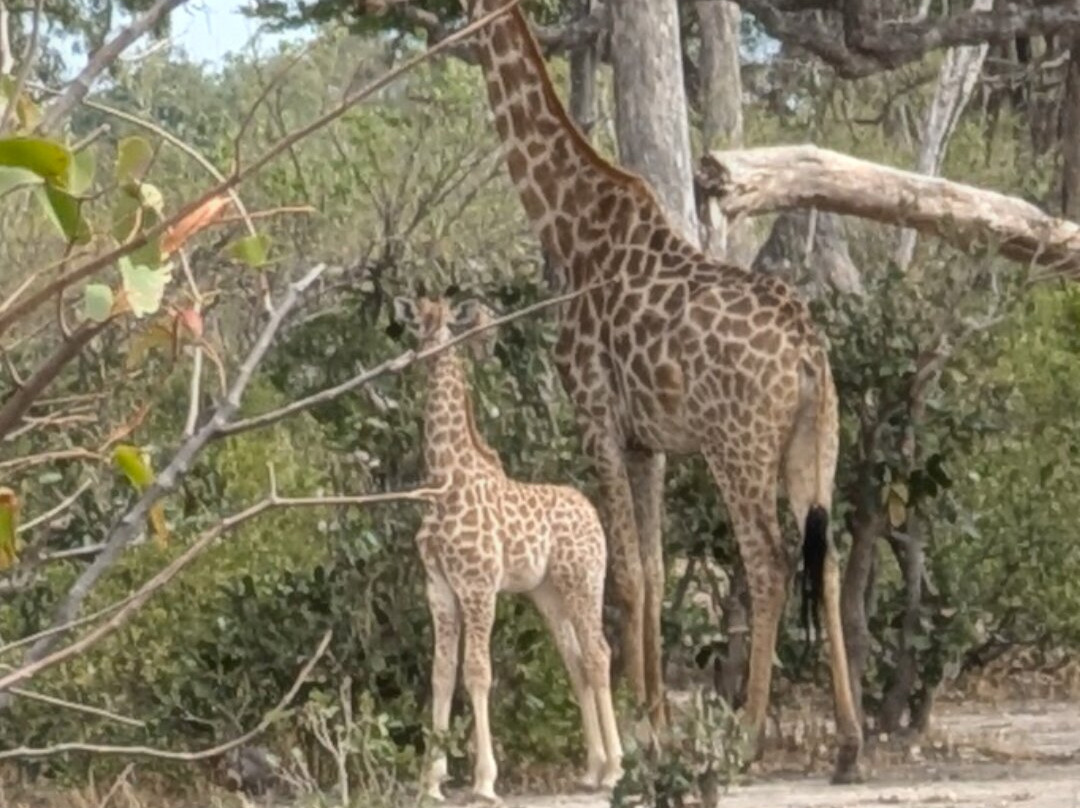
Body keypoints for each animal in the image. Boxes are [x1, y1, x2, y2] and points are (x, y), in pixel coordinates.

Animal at [393, 295, 622, 803]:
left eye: (439, 325)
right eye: (418, 323)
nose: (416, 355)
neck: (444, 479)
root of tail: (593, 514)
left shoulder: (478, 587)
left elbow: (477, 672)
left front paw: (483, 780)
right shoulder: (439, 588)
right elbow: (441, 674)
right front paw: (431, 781)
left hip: (584, 580)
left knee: (599, 653)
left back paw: (617, 768)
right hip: (548, 593)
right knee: (576, 661)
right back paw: (593, 768)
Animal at [460, 0, 864, 777]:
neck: (566, 224)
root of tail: (807, 353)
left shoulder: (595, 414)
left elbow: (624, 574)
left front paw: (640, 728)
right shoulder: (647, 441)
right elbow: (647, 569)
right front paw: (655, 720)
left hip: (737, 447)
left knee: (769, 562)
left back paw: (747, 735)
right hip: (816, 442)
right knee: (825, 560)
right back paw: (849, 744)